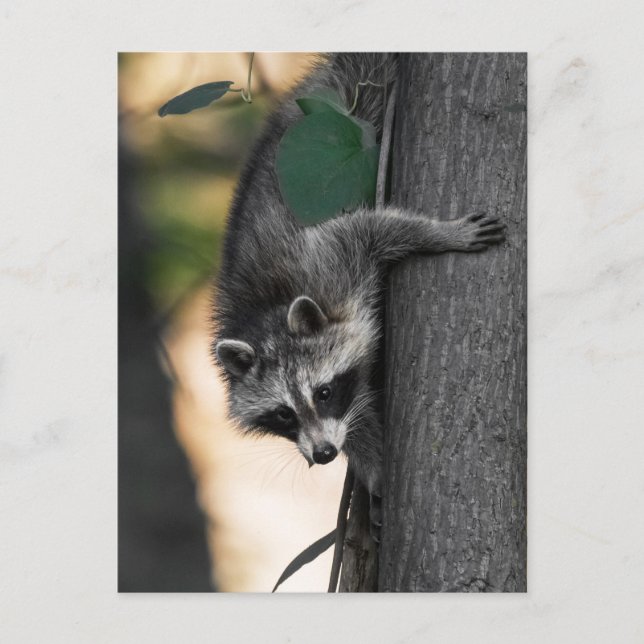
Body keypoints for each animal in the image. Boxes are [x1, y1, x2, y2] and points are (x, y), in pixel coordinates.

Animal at [212, 53, 505, 501]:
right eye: (283, 414)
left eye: (324, 392)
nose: (324, 454)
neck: (266, 312)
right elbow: (356, 417)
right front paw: (371, 460)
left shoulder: (329, 261)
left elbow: (375, 229)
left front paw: (440, 233)